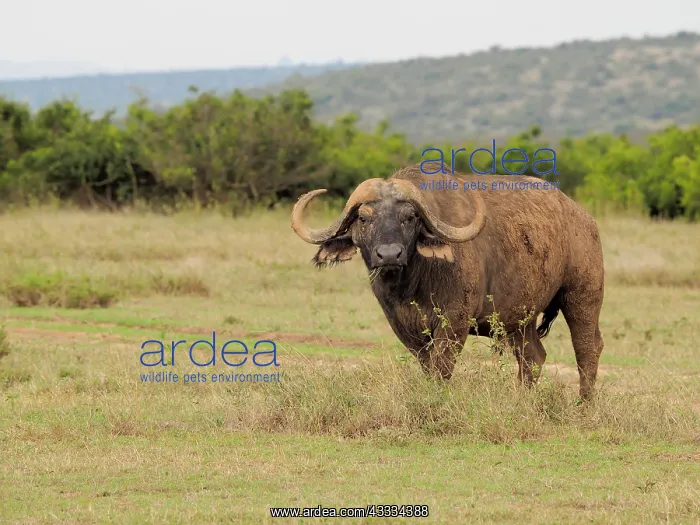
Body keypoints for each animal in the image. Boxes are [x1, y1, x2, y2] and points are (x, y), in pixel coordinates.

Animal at [290, 164, 605, 400]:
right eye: (364, 218)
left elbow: (442, 367)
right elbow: (428, 366)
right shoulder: (405, 328)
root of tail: (583, 219)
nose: (389, 254)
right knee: (533, 357)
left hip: (583, 297)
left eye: (410, 217)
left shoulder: (454, 322)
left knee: (588, 348)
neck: (411, 286)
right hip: (519, 318)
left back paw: (583, 405)